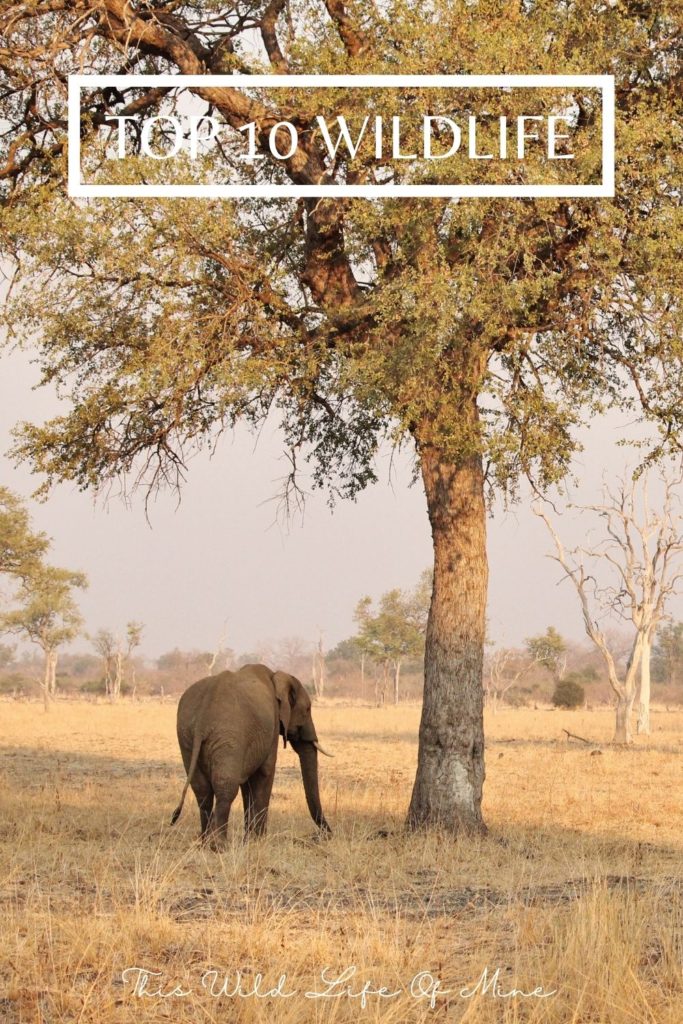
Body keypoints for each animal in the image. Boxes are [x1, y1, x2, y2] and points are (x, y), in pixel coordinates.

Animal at [170, 663, 331, 844]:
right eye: (308, 709)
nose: (324, 835)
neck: (275, 676)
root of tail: (203, 717)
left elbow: (247, 783)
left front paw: (249, 840)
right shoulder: (272, 725)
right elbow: (265, 772)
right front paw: (259, 840)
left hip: (186, 736)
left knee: (202, 789)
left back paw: (205, 842)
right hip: (228, 735)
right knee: (226, 787)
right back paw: (218, 845)